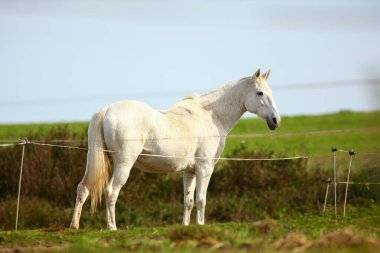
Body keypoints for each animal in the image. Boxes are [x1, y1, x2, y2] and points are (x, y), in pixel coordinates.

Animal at [70, 68, 280, 230]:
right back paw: (112, 227)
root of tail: (106, 110)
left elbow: (188, 201)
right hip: (123, 165)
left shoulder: (189, 172)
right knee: (111, 191)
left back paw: (74, 225)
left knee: (83, 188)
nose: (276, 120)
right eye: (260, 93)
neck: (211, 116)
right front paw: (201, 226)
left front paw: (185, 226)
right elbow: (201, 199)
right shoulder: (205, 168)